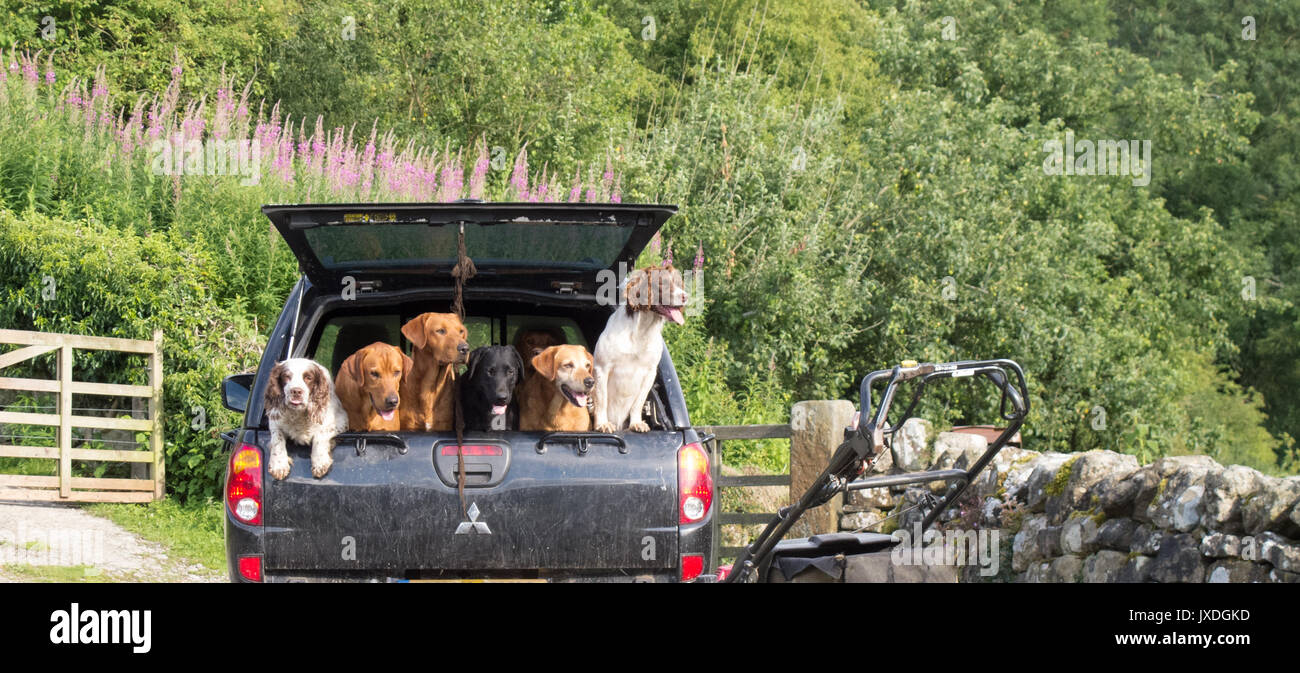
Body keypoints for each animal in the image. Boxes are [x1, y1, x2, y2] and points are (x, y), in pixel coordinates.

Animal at [592, 263, 691, 433]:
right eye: (663, 283)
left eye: (679, 283)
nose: (686, 296)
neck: (641, 330)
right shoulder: (602, 368)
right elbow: (602, 400)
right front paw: (602, 424)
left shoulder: (650, 373)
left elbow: (638, 403)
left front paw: (636, 423)